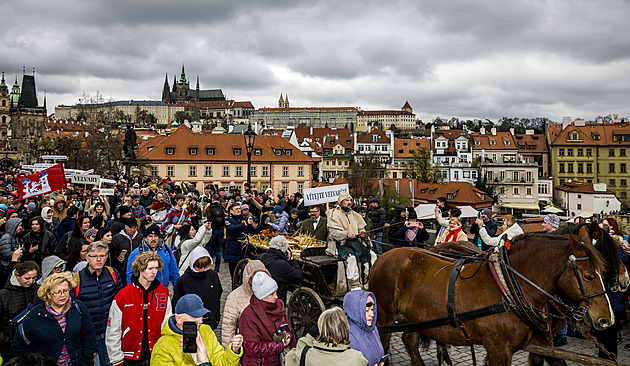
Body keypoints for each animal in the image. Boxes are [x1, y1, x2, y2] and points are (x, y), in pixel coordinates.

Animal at [372, 232, 616, 366]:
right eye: (588, 276)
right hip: (384, 315)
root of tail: (383, 256)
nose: (607, 319)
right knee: (383, 344)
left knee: (409, 340)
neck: (508, 286)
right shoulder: (498, 348)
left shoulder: (539, 343)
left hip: (419, 317)